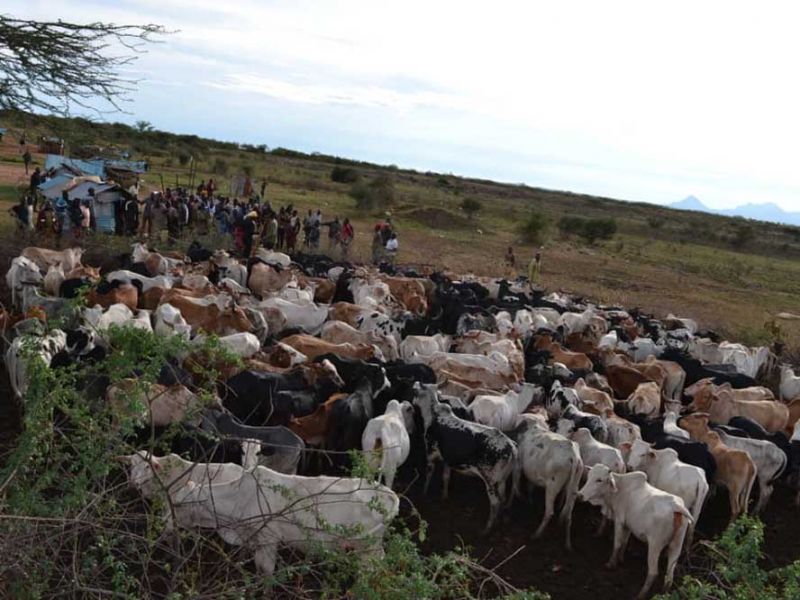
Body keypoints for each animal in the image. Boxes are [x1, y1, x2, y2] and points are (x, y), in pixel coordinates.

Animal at [580, 464, 692, 600]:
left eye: (599, 480)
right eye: (589, 476)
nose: (580, 495)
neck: (620, 489)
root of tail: (676, 506)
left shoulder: (619, 521)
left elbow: (617, 543)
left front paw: (611, 563)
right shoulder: (628, 525)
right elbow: (624, 542)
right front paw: (621, 559)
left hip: (655, 545)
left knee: (653, 572)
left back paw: (641, 594)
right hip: (676, 546)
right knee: (670, 575)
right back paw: (663, 594)